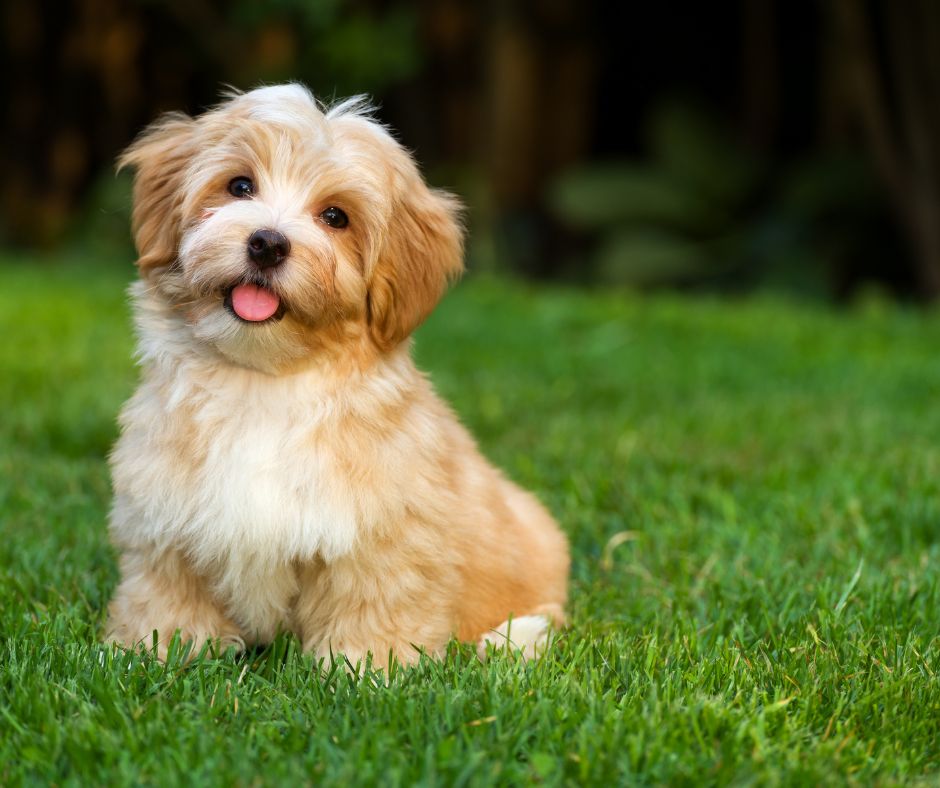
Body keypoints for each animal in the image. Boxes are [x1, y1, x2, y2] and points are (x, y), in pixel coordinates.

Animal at [106, 84, 568, 664]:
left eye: (335, 216)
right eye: (240, 186)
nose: (267, 243)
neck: (265, 380)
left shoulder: (381, 534)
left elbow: (373, 601)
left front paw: (363, 666)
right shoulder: (165, 518)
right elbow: (167, 591)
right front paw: (155, 649)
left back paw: (513, 638)